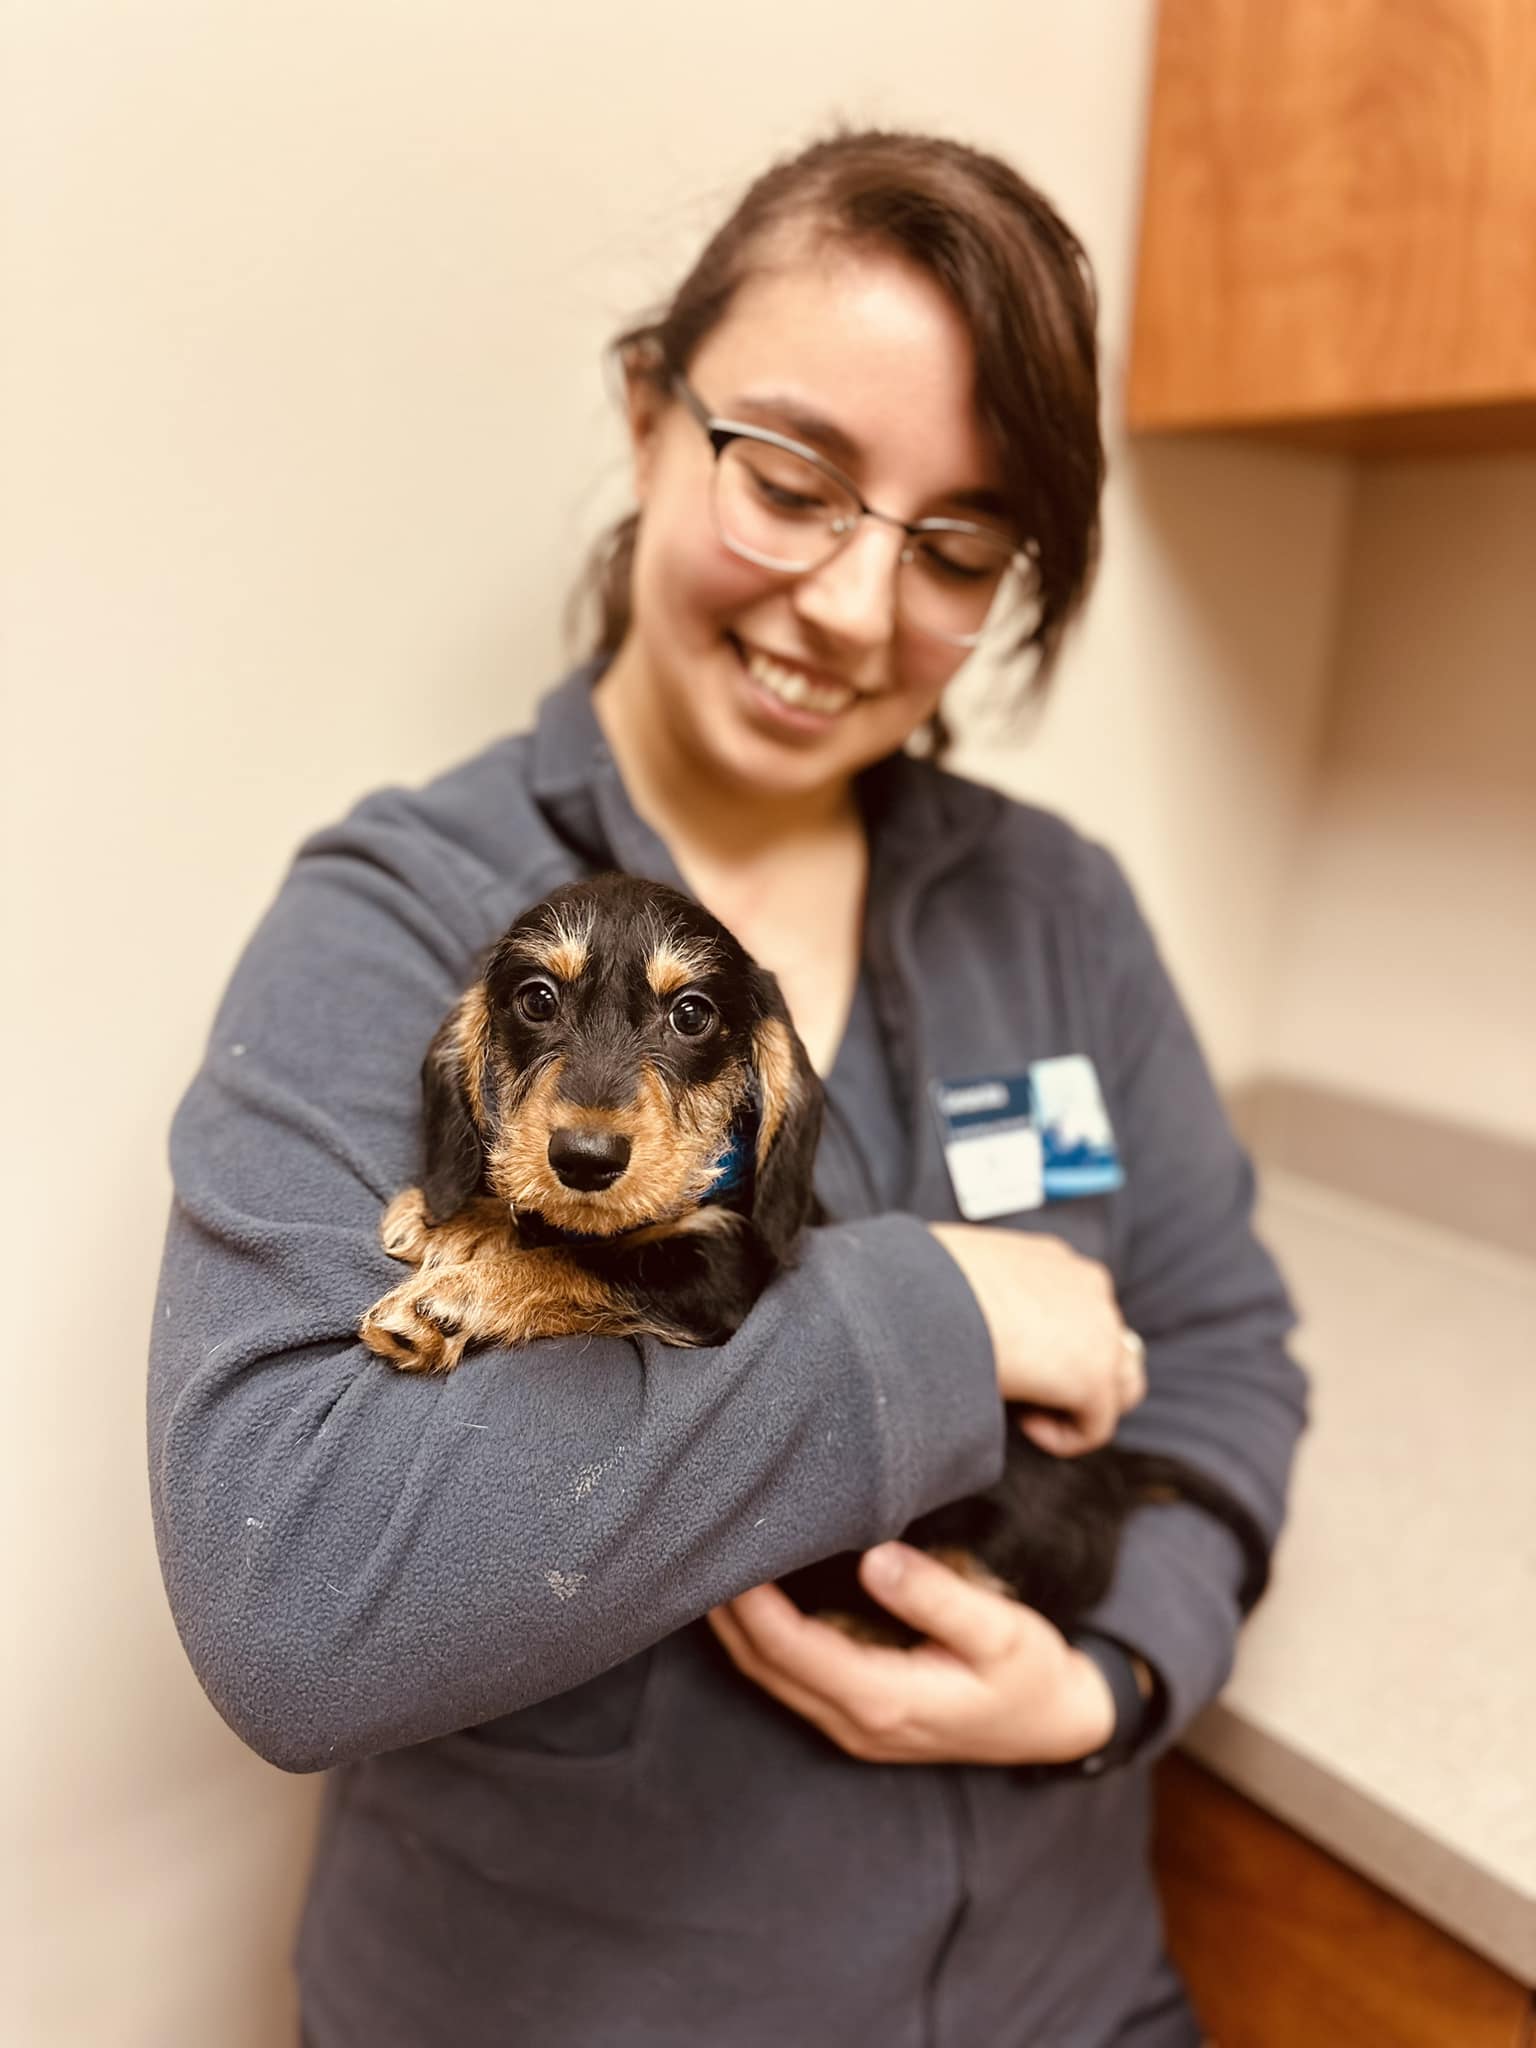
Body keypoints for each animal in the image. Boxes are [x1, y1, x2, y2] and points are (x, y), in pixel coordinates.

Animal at [364, 872, 1277, 1638]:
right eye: (537, 999)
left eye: (691, 1014)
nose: (585, 1159)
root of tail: (1113, 1471)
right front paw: (457, 1215)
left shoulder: (719, 1279)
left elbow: (581, 1262)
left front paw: (458, 1296)